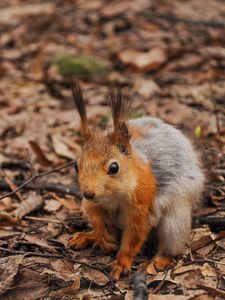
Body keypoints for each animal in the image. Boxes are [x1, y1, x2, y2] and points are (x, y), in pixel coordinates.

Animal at [68, 79, 204, 278]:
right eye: (76, 166)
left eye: (114, 167)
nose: (88, 193)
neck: (113, 195)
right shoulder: (92, 204)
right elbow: (95, 216)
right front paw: (100, 237)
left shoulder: (142, 207)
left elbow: (133, 237)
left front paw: (121, 263)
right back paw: (88, 236)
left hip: (176, 220)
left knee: (172, 245)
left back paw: (159, 260)